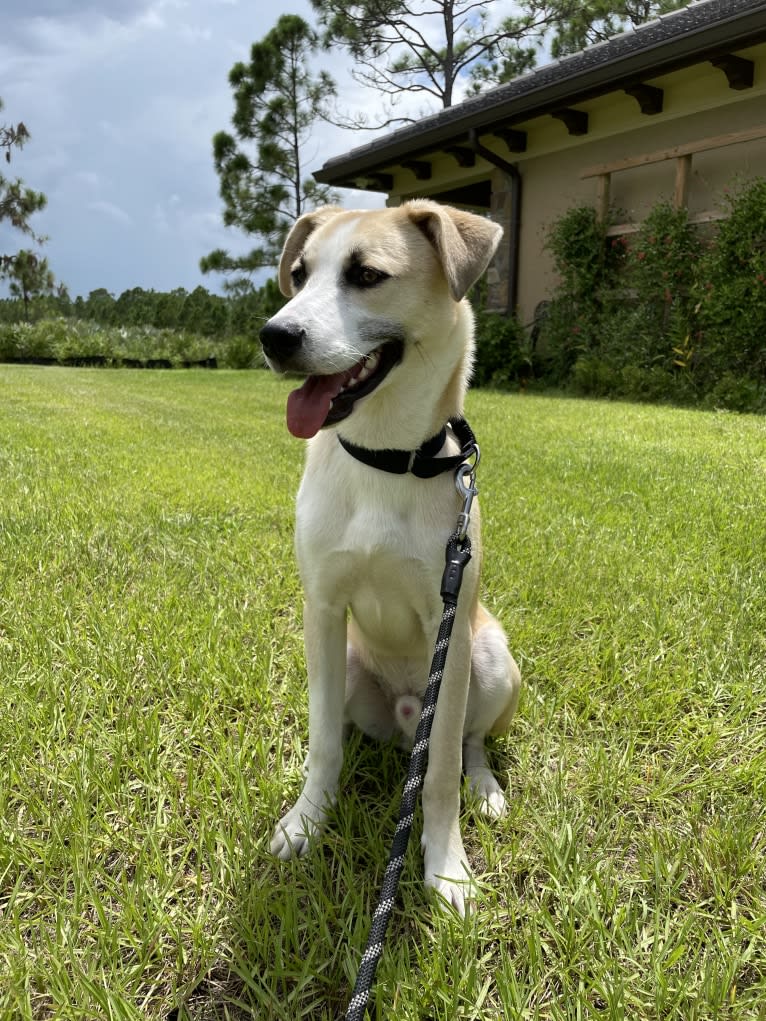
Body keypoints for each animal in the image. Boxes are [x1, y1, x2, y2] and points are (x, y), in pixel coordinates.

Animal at [263, 201, 522, 918]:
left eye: (367, 275)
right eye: (299, 274)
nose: (274, 336)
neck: (383, 458)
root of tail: (408, 721)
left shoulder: (448, 625)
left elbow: (439, 775)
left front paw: (447, 869)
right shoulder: (323, 609)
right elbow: (323, 740)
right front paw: (307, 819)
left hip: (490, 658)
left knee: (465, 743)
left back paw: (485, 787)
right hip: (350, 666)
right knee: (348, 729)